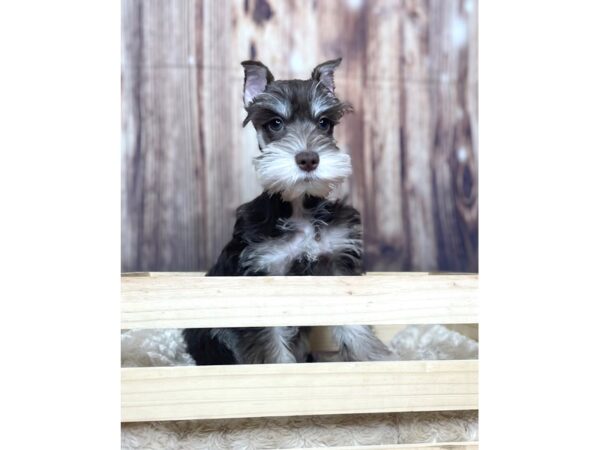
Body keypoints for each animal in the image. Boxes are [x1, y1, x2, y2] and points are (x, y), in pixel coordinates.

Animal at [183, 57, 392, 366]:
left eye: (324, 123)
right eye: (276, 123)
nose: (308, 159)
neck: (299, 208)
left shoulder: (336, 261)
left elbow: (355, 326)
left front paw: (374, 359)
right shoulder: (261, 272)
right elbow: (270, 346)